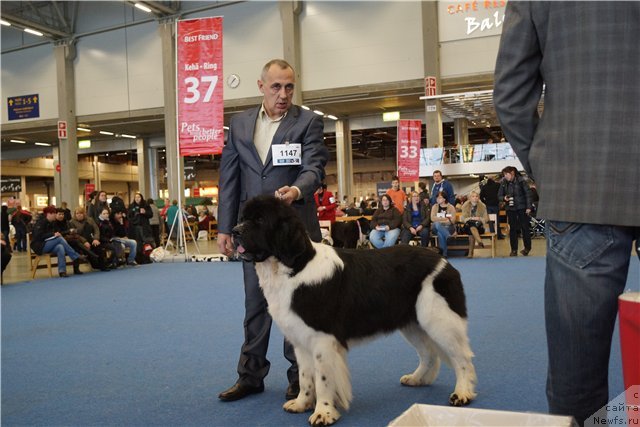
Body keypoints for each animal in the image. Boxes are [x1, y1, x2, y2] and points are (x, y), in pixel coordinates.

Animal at [234, 197, 476, 427]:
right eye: (243, 217)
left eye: (260, 220)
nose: (235, 231)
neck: (294, 267)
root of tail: (444, 262)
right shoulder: (300, 340)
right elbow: (305, 377)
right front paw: (301, 403)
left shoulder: (322, 339)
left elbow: (322, 379)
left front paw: (323, 413)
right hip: (412, 323)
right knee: (429, 354)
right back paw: (416, 379)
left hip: (440, 319)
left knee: (461, 358)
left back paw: (462, 393)